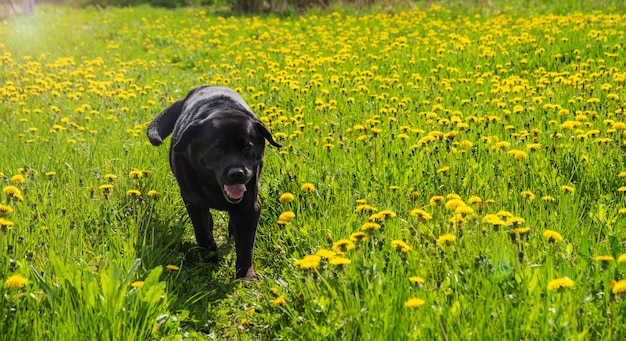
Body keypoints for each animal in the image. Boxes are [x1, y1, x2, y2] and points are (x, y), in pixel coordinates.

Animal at [146, 85, 278, 278]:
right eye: (217, 150)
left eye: (248, 147)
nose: (237, 173)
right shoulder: (193, 202)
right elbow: (203, 232)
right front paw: (210, 259)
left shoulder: (249, 208)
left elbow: (245, 246)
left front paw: (245, 277)